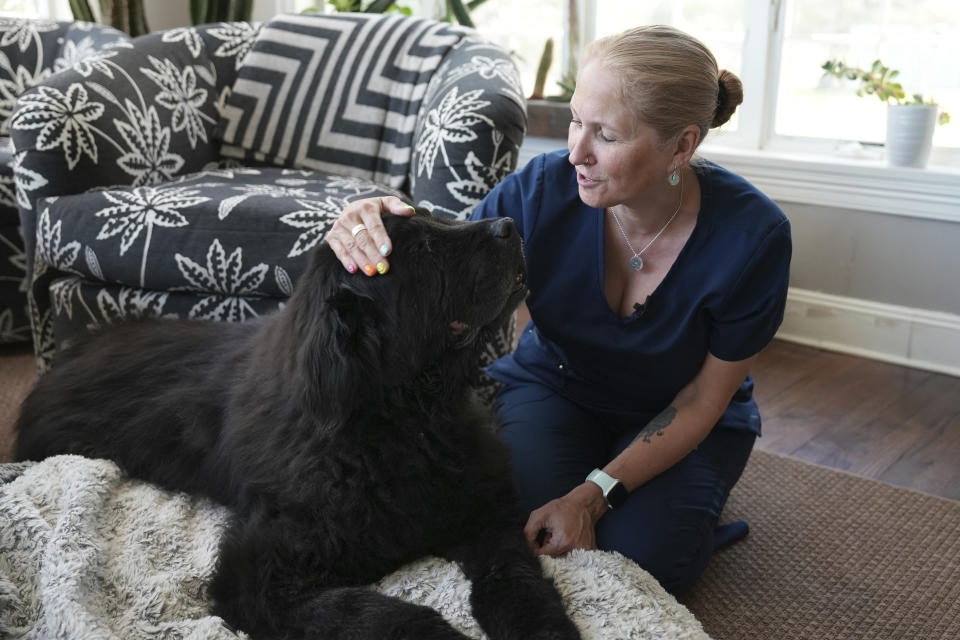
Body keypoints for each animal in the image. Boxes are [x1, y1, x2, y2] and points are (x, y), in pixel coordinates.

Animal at [15, 211, 580, 640]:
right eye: (422, 251)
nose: (509, 224)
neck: (404, 419)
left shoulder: (488, 514)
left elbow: (516, 575)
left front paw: (545, 627)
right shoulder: (255, 571)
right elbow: (372, 613)